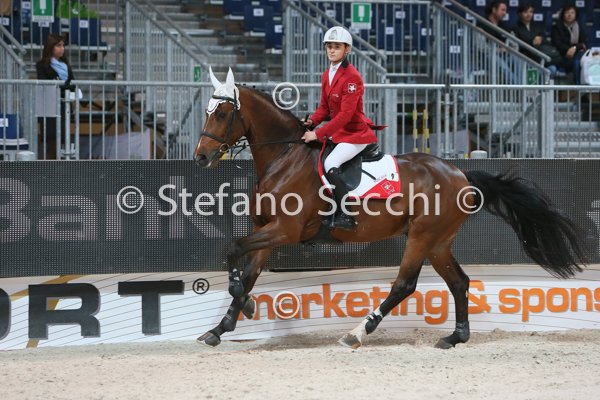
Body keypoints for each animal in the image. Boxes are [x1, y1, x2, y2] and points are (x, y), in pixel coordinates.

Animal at [193, 68, 586, 349]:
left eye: (223, 113)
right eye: (207, 112)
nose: (199, 158)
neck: (283, 157)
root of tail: (459, 172)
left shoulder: (284, 231)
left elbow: (233, 250)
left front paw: (243, 306)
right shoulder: (268, 230)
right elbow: (247, 272)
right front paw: (221, 327)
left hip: (423, 236)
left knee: (404, 284)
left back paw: (358, 331)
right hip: (438, 241)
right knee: (459, 282)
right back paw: (455, 336)